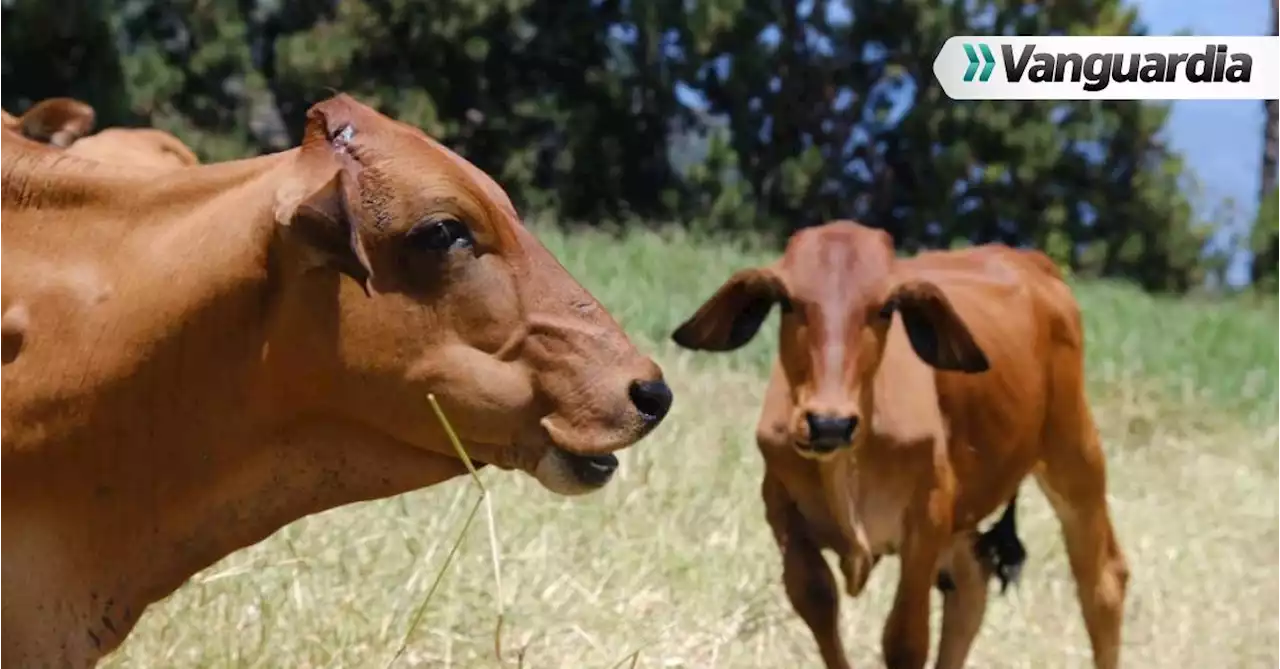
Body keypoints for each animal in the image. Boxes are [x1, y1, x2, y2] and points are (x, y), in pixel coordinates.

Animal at [670, 221, 1131, 669]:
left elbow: (904, 642)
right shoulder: (781, 508)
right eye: (787, 302)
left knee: (1103, 581)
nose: (829, 423)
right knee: (970, 588)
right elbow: (817, 601)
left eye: (885, 308)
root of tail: (1029, 259)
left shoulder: (927, 518)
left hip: (1074, 451)